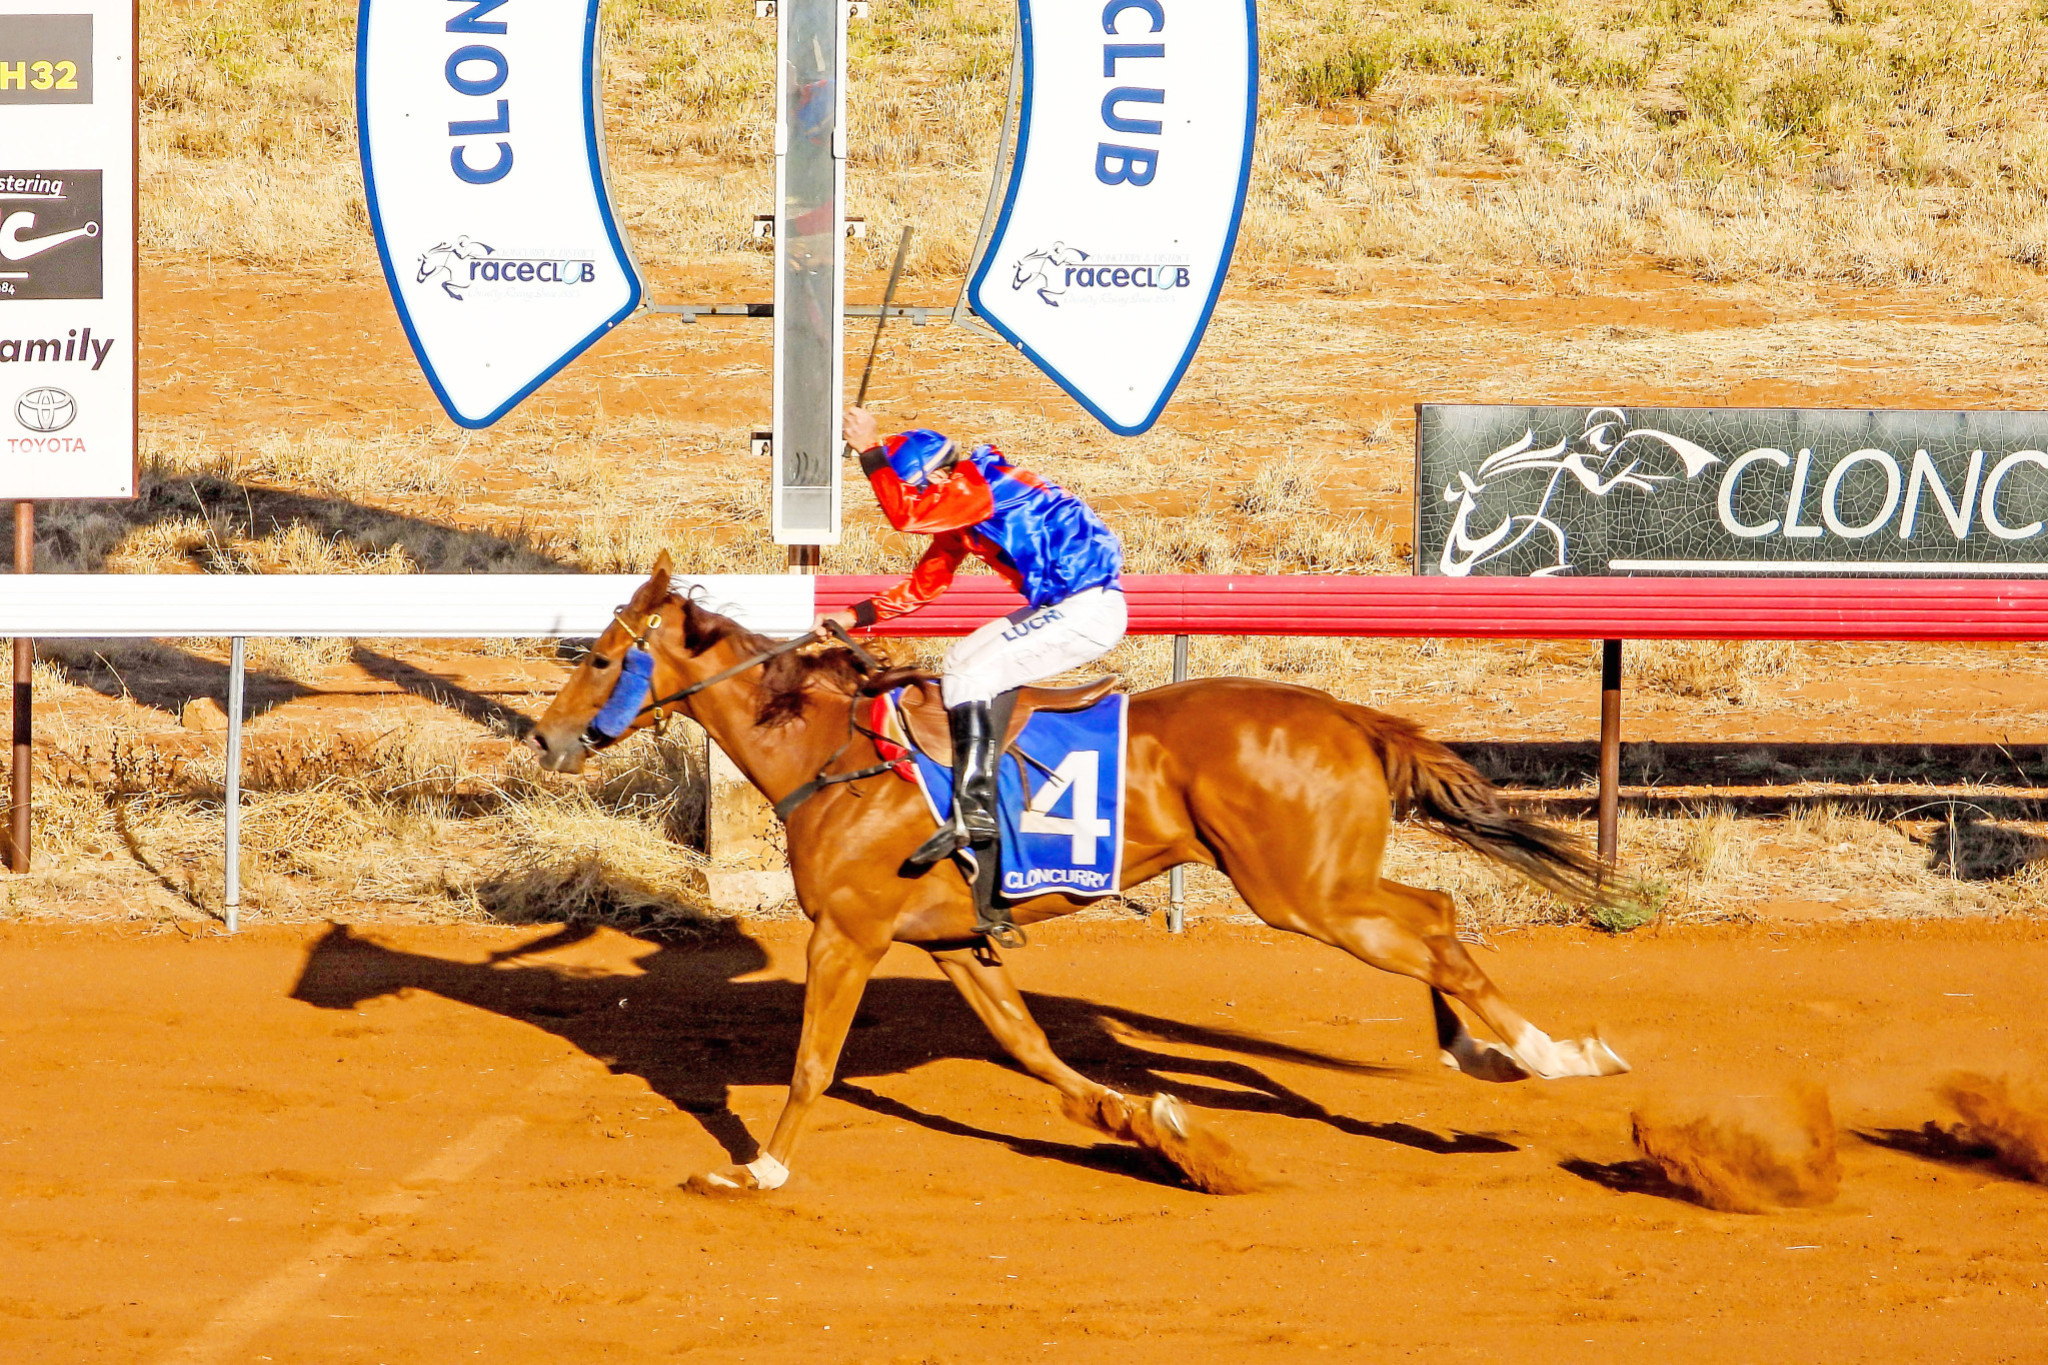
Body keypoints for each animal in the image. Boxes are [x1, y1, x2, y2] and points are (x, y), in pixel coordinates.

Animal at [528, 556, 1630, 1195]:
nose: (543, 737)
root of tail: (1345, 715)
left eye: (598, 657)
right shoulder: (954, 939)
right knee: (1438, 915)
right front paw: (1150, 1127)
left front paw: (757, 1166)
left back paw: (1551, 1056)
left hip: (1302, 892)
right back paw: (1485, 1054)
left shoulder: (848, 933)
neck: (834, 754)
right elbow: (1034, 1053)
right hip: (1321, 886)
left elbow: (812, 1061)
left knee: (1439, 936)